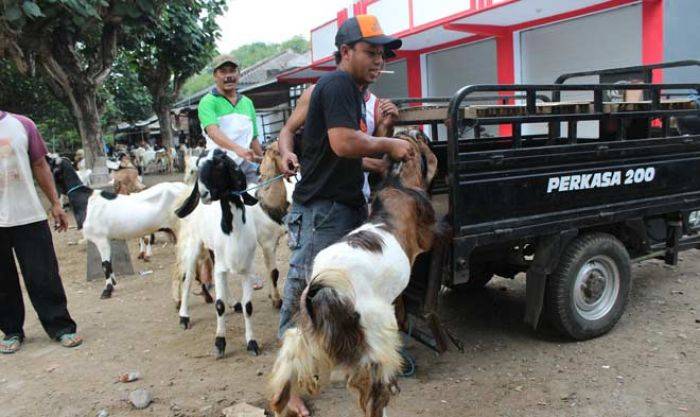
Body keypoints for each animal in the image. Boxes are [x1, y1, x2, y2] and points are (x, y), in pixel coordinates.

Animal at [174, 150, 262, 358]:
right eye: (198, 166)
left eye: (220, 164)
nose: (204, 193)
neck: (233, 231)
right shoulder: (222, 268)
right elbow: (219, 305)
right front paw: (220, 343)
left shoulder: (247, 269)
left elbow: (248, 306)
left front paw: (252, 343)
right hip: (193, 246)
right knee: (187, 279)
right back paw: (184, 316)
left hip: (215, 254)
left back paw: (234, 303)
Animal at [270, 130, 438, 416]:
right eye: (420, 142)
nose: (414, 131)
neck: (397, 183)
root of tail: (323, 290)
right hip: (375, 337)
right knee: (372, 389)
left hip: (306, 328)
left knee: (291, 348)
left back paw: (282, 398)